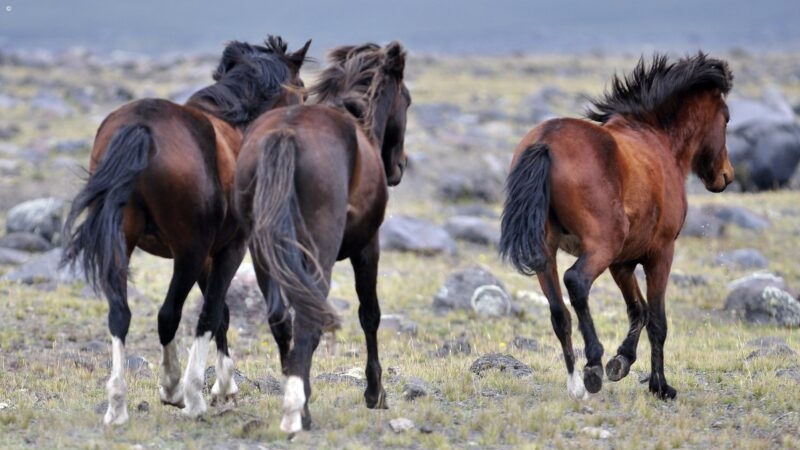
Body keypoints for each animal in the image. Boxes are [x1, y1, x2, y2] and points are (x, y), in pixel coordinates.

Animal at [61, 36, 311, 425]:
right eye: (302, 91)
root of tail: (142, 126)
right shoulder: (228, 249)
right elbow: (211, 313)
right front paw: (207, 389)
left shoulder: (209, 255)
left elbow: (221, 313)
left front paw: (225, 385)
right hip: (188, 253)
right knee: (169, 315)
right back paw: (177, 390)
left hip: (123, 244)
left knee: (120, 315)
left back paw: (117, 405)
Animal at [233, 41, 410, 433]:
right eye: (407, 99)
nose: (400, 166)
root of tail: (286, 133)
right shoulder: (368, 248)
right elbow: (370, 314)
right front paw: (375, 392)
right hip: (319, 253)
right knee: (308, 318)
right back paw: (302, 409)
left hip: (262, 253)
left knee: (280, 318)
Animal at [499, 53, 733, 401]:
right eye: (727, 118)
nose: (726, 176)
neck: (657, 139)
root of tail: (546, 142)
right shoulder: (660, 253)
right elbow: (657, 320)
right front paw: (660, 386)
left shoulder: (622, 263)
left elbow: (638, 310)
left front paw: (621, 361)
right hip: (602, 245)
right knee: (576, 282)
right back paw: (593, 366)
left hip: (547, 252)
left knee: (559, 312)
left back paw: (576, 383)